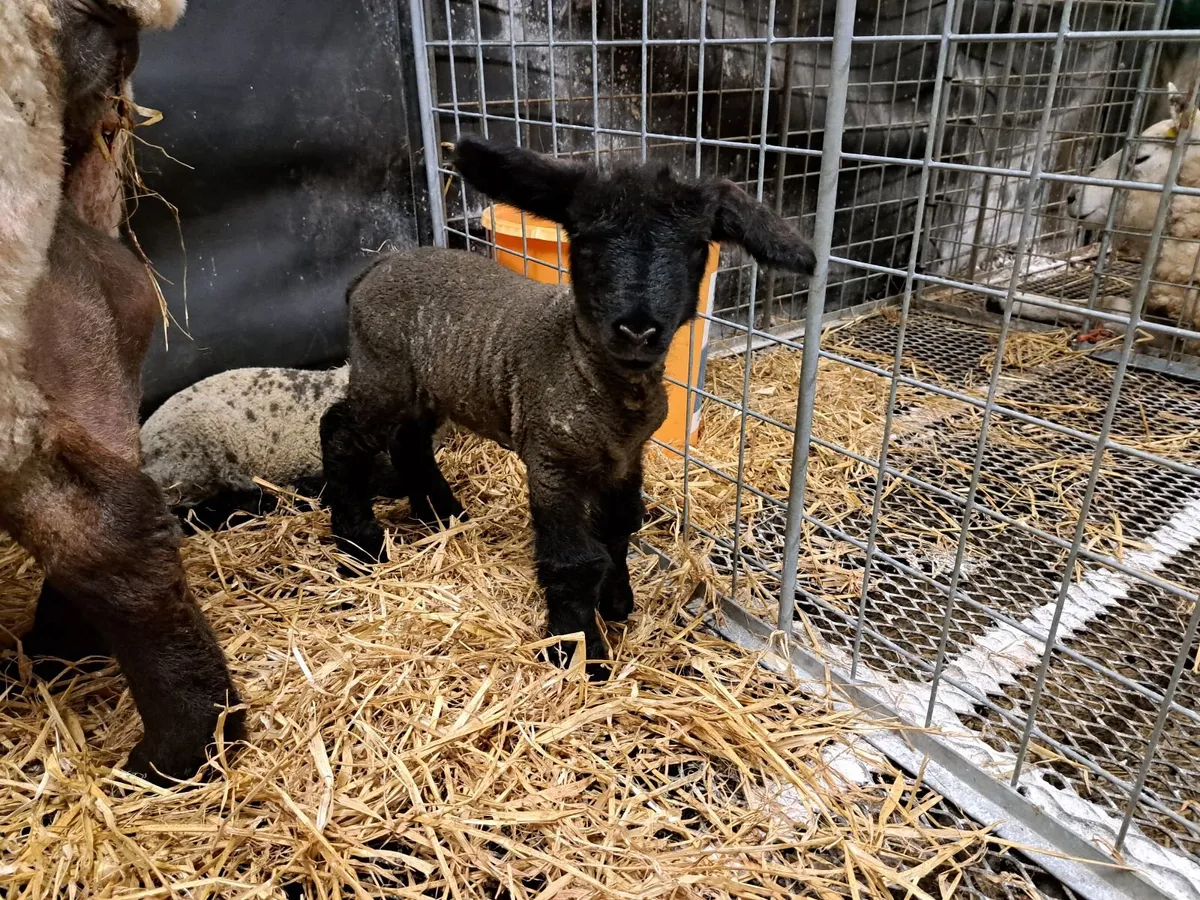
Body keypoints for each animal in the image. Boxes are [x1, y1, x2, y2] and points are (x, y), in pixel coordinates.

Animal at [320, 135, 816, 679]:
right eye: (586, 241)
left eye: (694, 247)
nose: (637, 330)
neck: (592, 374)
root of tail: (373, 269)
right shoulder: (552, 460)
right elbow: (575, 561)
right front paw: (580, 653)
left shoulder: (625, 459)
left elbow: (619, 530)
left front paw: (617, 604)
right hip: (382, 368)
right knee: (342, 432)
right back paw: (359, 543)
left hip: (425, 384)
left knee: (408, 439)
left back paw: (442, 515)